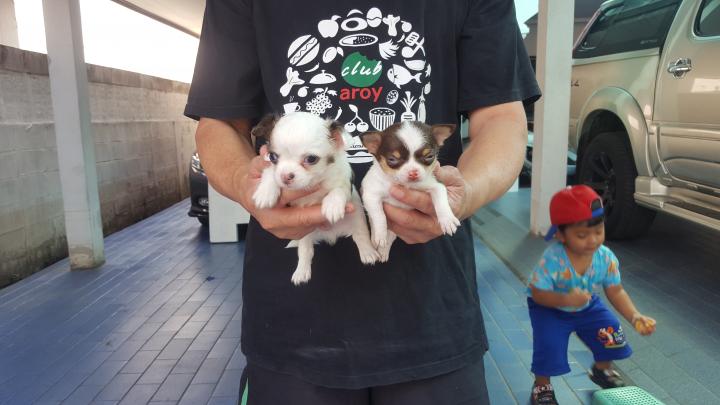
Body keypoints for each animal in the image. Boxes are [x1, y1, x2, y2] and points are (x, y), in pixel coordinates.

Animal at [251, 112, 379, 285]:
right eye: (272, 157)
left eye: (311, 159)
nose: (285, 176)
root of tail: (330, 235)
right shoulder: (272, 170)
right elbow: (270, 173)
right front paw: (265, 193)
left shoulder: (344, 182)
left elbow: (338, 190)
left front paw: (332, 206)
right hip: (305, 234)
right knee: (305, 251)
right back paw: (301, 271)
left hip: (357, 218)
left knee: (360, 236)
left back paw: (368, 253)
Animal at [360, 121, 460, 261]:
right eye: (392, 159)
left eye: (429, 156)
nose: (413, 172)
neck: (403, 185)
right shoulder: (370, 195)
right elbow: (379, 215)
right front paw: (380, 235)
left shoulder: (435, 185)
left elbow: (441, 199)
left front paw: (447, 219)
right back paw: (375, 240)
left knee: (390, 238)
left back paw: (383, 251)